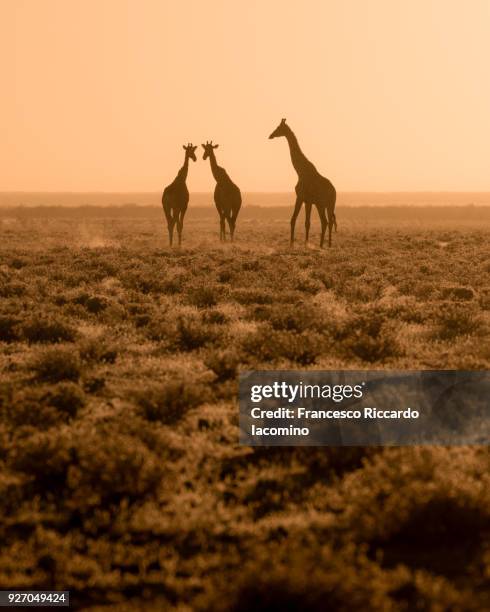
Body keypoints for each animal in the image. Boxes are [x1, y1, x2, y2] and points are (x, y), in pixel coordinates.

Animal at [268, 118, 336, 247]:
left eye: (278, 128)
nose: (270, 135)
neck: (299, 171)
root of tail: (334, 191)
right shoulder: (308, 201)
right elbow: (306, 222)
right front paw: (305, 243)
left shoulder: (300, 197)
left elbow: (294, 219)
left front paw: (293, 244)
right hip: (324, 205)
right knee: (327, 222)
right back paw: (326, 244)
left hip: (326, 205)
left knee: (327, 221)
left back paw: (324, 244)